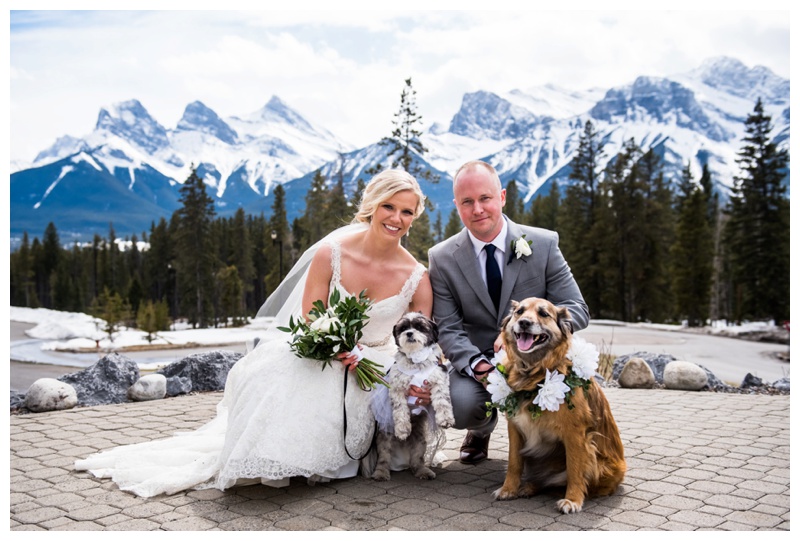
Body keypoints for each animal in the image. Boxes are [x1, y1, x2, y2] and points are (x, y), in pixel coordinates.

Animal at [370, 310, 454, 478]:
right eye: (403, 328)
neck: (416, 361)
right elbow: (400, 410)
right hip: (385, 435)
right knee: (384, 455)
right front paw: (402, 429)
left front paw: (446, 419)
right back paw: (381, 473)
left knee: (417, 458)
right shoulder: (397, 388)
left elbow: (442, 401)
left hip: (420, 440)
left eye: (420, 327)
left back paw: (423, 471)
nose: (409, 333)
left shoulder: (439, 378)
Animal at [494, 298, 624, 512]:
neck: (535, 372)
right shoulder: (514, 427)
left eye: (543, 314)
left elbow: (574, 469)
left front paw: (572, 500)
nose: (524, 323)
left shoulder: (575, 433)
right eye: (519, 312)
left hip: (600, 463)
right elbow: (514, 462)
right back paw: (528, 487)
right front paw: (508, 489)